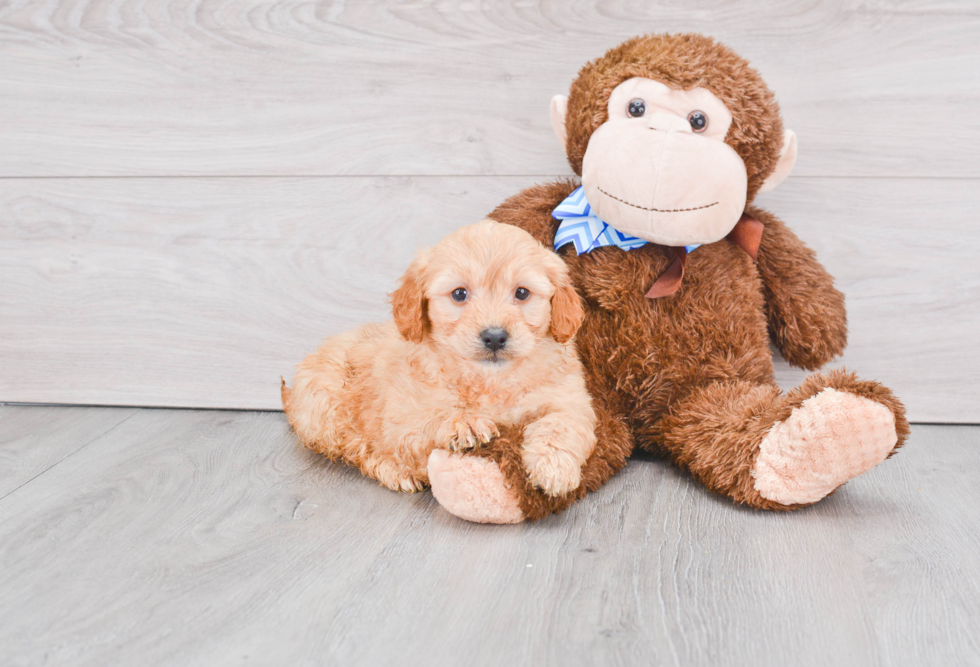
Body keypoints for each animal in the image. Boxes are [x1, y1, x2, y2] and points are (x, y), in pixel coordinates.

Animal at [280, 219, 592, 496]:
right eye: (459, 294)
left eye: (522, 293)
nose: (494, 337)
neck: (488, 380)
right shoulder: (401, 417)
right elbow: (429, 416)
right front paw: (464, 422)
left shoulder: (569, 400)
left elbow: (561, 425)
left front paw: (554, 468)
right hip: (326, 408)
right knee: (359, 451)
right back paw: (395, 471)